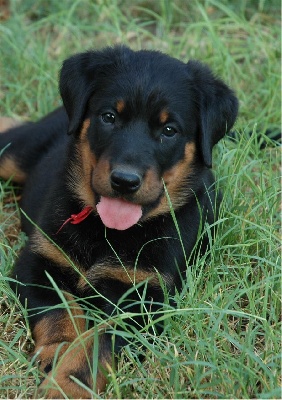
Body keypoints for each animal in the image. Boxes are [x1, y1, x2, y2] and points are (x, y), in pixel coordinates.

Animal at [0, 46, 238, 396]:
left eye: (169, 130)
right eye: (109, 117)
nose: (125, 181)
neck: (105, 230)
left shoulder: (143, 298)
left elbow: (96, 343)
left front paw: (66, 385)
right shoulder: (38, 261)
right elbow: (61, 310)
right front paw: (58, 350)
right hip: (15, 155)